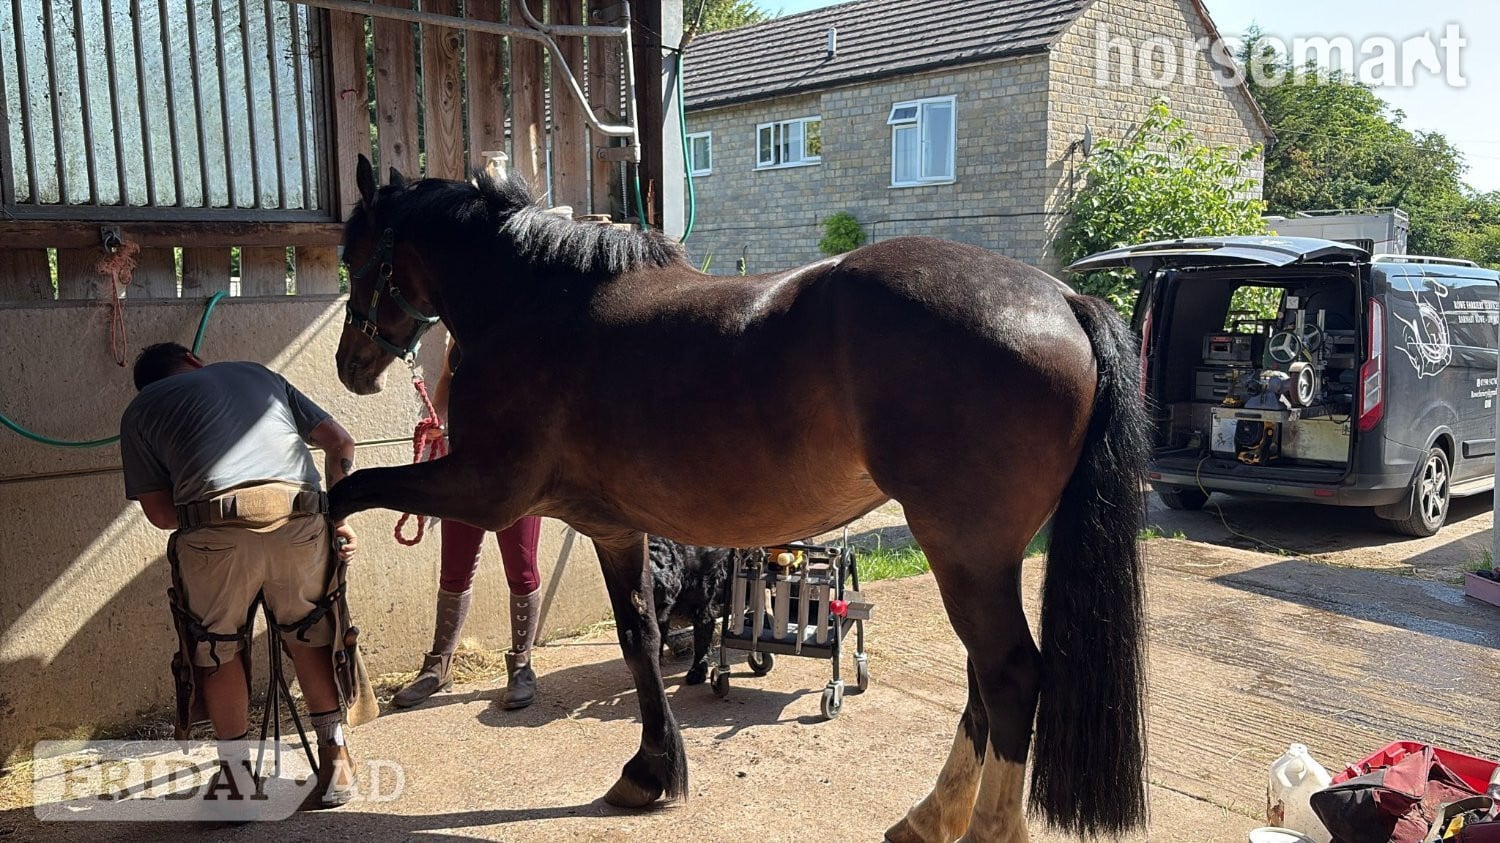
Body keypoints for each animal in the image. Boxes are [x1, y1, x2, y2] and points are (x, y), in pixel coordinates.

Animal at [330, 154, 1149, 842]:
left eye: (350, 255)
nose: (349, 365)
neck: (535, 304)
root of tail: (1063, 298)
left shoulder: (482, 488)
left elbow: (349, 490)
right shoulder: (614, 529)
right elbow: (640, 639)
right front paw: (651, 772)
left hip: (965, 553)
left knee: (1008, 676)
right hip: (976, 559)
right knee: (984, 679)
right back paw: (928, 816)